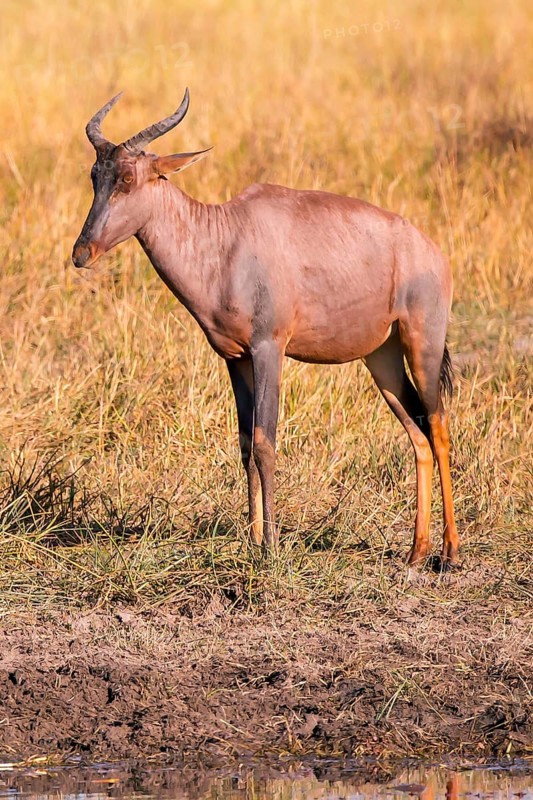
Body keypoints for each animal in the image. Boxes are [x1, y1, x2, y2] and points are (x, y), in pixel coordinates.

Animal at [73, 88, 460, 567]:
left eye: (128, 177)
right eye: (95, 175)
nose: (81, 253)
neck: (225, 240)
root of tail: (434, 253)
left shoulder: (268, 349)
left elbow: (265, 442)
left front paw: (272, 547)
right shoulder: (235, 358)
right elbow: (244, 443)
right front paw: (253, 539)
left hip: (423, 343)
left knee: (439, 429)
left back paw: (450, 551)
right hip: (382, 358)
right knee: (418, 435)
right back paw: (416, 551)